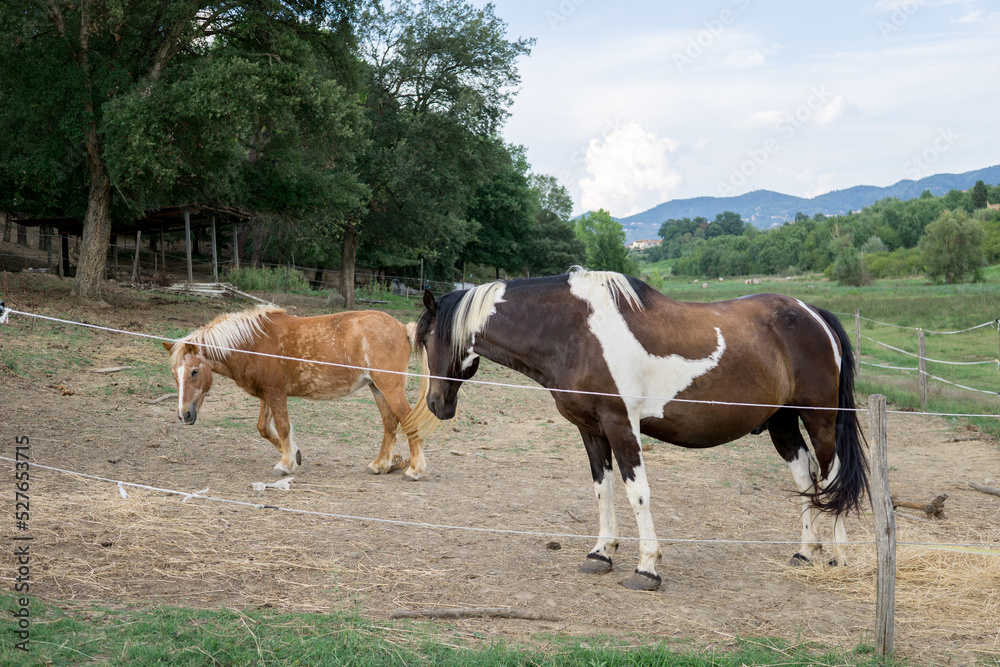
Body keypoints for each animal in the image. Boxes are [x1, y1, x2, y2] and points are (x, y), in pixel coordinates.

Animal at [163, 306, 432, 480]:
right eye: (175, 374)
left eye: (194, 372)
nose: (184, 415)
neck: (253, 343)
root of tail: (402, 327)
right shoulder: (267, 395)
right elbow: (265, 428)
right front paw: (295, 453)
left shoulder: (276, 394)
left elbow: (282, 427)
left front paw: (285, 464)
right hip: (377, 389)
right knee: (390, 424)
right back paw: (380, 465)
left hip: (390, 388)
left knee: (407, 421)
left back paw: (415, 470)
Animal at [415, 267, 869, 591]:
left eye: (427, 339)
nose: (436, 404)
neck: (575, 330)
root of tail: (813, 314)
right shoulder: (590, 429)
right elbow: (603, 489)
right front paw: (601, 554)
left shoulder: (621, 424)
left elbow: (638, 492)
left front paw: (647, 568)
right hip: (782, 422)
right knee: (806, 477)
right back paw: (805, 552)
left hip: (820, 418)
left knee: (831, 476)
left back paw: (839, 557)